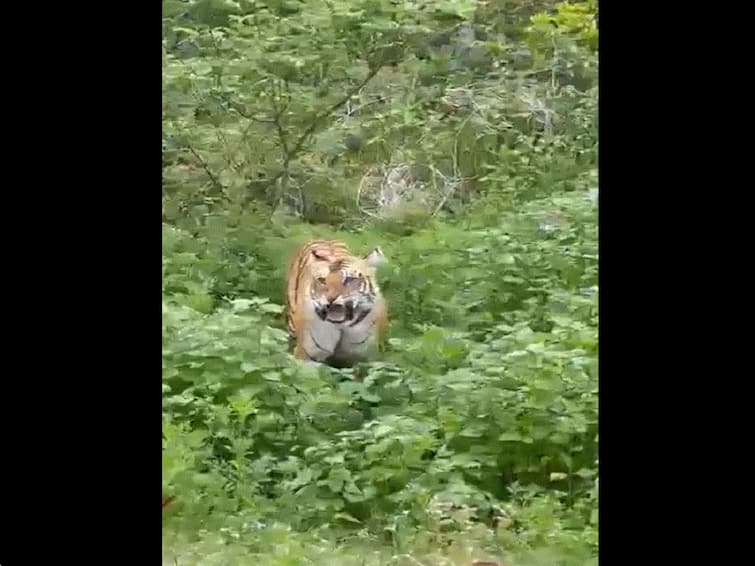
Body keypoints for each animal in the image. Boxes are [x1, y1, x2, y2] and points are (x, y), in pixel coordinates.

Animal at [284, 239, 390, 368]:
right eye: (322, 280)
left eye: (349, 279)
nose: (330, 298)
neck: (341, 326)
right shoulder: (307, 357)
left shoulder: (364, 358)